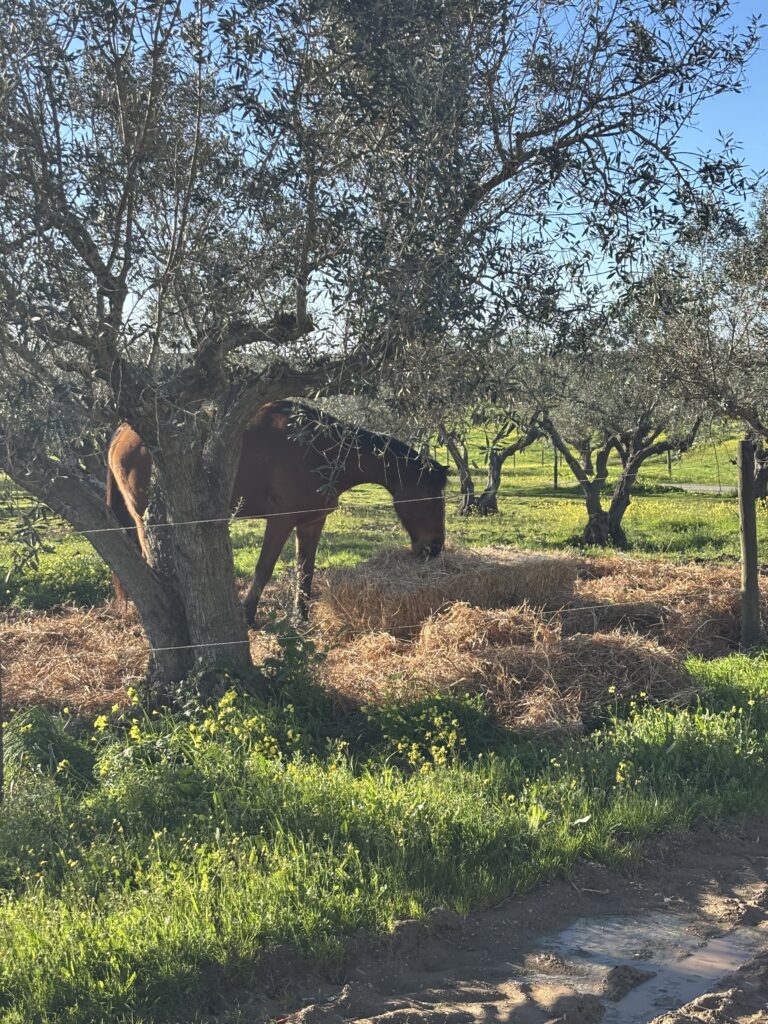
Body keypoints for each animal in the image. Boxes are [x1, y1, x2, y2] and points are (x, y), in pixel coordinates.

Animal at [106, 400, 447, 623]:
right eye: (431, 496)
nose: (434, 548)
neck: (321, 448)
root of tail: (123, 433)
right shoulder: (280, 521)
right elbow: (264, 569)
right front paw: (247, 616)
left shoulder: (313, 521)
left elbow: (305, 569)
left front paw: (302, 618)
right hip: (144, 519)